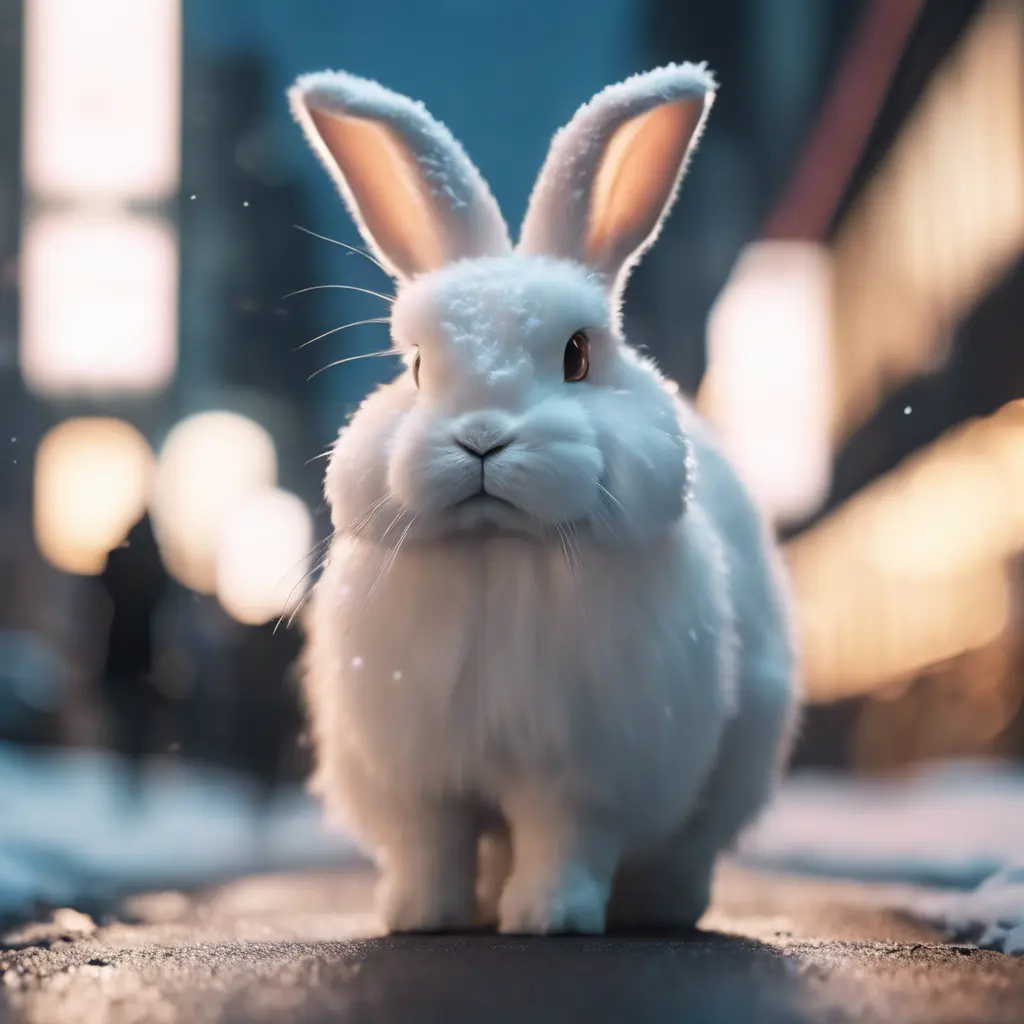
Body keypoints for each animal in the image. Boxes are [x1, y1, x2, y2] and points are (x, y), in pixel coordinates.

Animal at [288, 64, 798, 937]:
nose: (482, 439)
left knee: (687, 854)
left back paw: (662, 907)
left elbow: (564, 842)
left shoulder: (582, 778)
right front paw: (420, 915)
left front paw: (550, 917)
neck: (501, 548)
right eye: (416, 366)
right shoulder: (422, 782)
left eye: (578, 356)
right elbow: (434, 846)